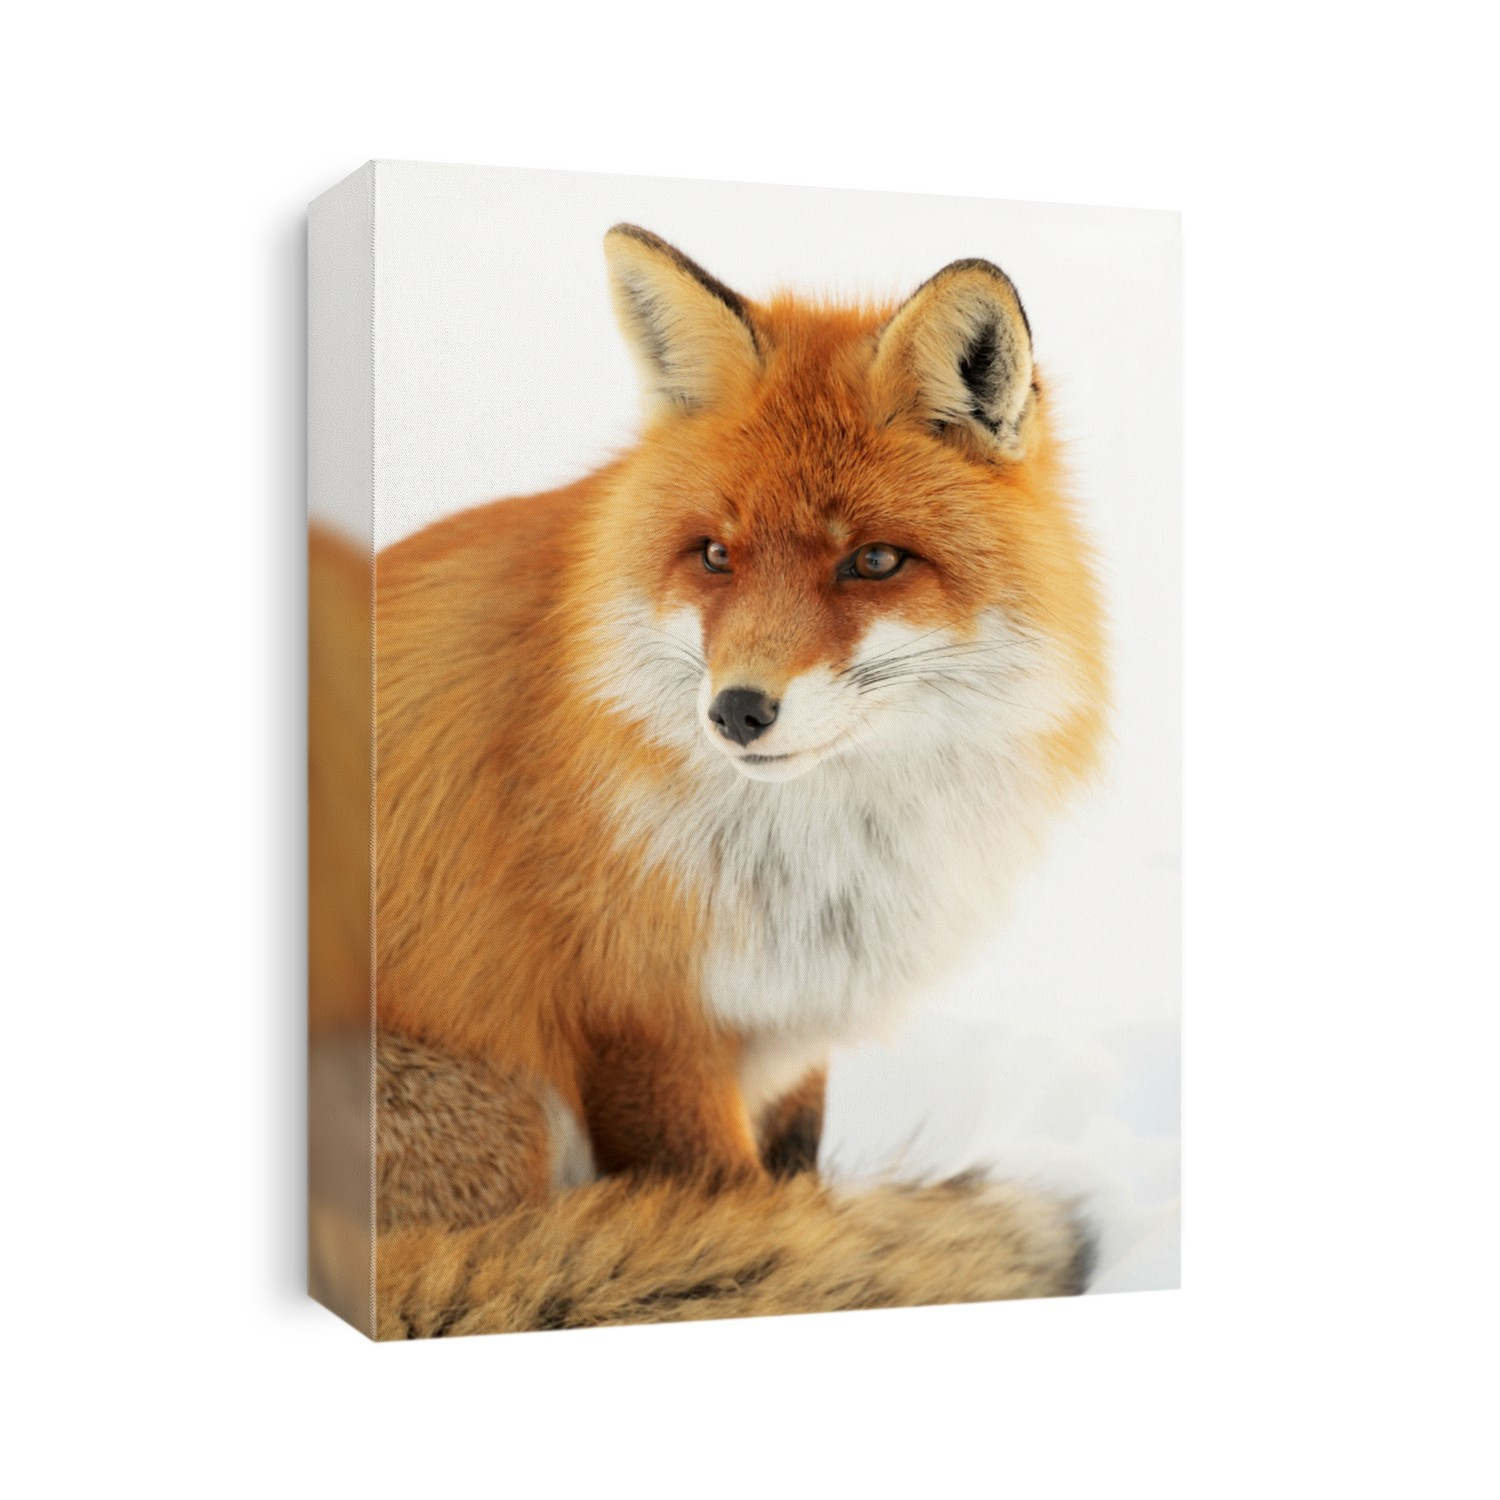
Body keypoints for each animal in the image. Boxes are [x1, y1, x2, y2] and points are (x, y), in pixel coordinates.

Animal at [308, 224, 1108, 1336]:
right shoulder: (640, 1025)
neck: (817, 860)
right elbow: (739, 1217)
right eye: (715, 555)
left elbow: (795, 1191)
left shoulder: (790, 1025)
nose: (737, 710)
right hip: (495, 1108)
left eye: (873, 561)